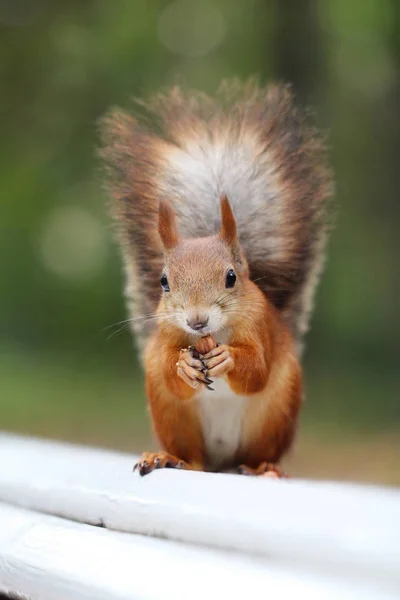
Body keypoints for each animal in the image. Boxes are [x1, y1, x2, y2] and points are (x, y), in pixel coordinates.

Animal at [98, 78, 332, 478]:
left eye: (231, 277)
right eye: (164, 281)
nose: (196, 320)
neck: (212, 334)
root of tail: (221, 462)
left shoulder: (259, 326)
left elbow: (257, 370)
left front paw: (228, 359)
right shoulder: (167, 333)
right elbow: (170, 371)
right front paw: (184, 365)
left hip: (275, 416)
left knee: (255, 453)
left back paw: (264, 468)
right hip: (173, 417)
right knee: (193, 458)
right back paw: (167, 457)